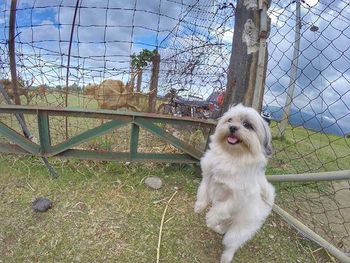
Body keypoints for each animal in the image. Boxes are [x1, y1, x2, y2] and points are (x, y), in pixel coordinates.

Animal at [194, 104, 274, 262]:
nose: (232, 127)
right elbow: (203, 190)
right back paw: (218, 228)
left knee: (232, 243)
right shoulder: (208, 175)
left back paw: (226, 256)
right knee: (225, 223)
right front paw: (200, 206)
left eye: (247, 125)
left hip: (239, 230)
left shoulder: (238, 197)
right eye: (230, 120)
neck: (231, 156)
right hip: (230, 220)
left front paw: (210, 217)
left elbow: (221, 208)